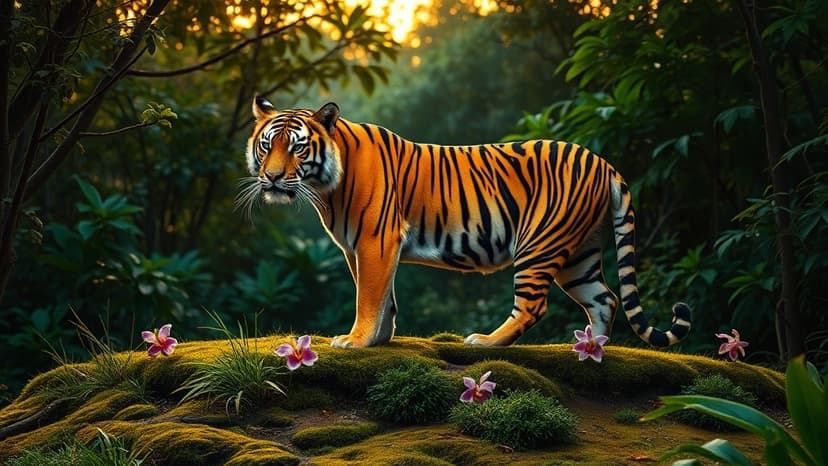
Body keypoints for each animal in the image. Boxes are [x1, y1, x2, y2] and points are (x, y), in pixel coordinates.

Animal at [240, 96, 692, 349]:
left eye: (297, 148)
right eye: (267, 146)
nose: (273, 177)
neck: (325, 186)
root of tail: (604, 162)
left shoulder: (374, 241)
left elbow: (367, 296)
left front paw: (355, 340)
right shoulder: (361, 248)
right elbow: (385, 296)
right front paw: (380, 339)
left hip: (539, 244)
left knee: (534, 306)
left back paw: (486, 342)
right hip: (579, 254)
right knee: (606, 298)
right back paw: (589, 349)